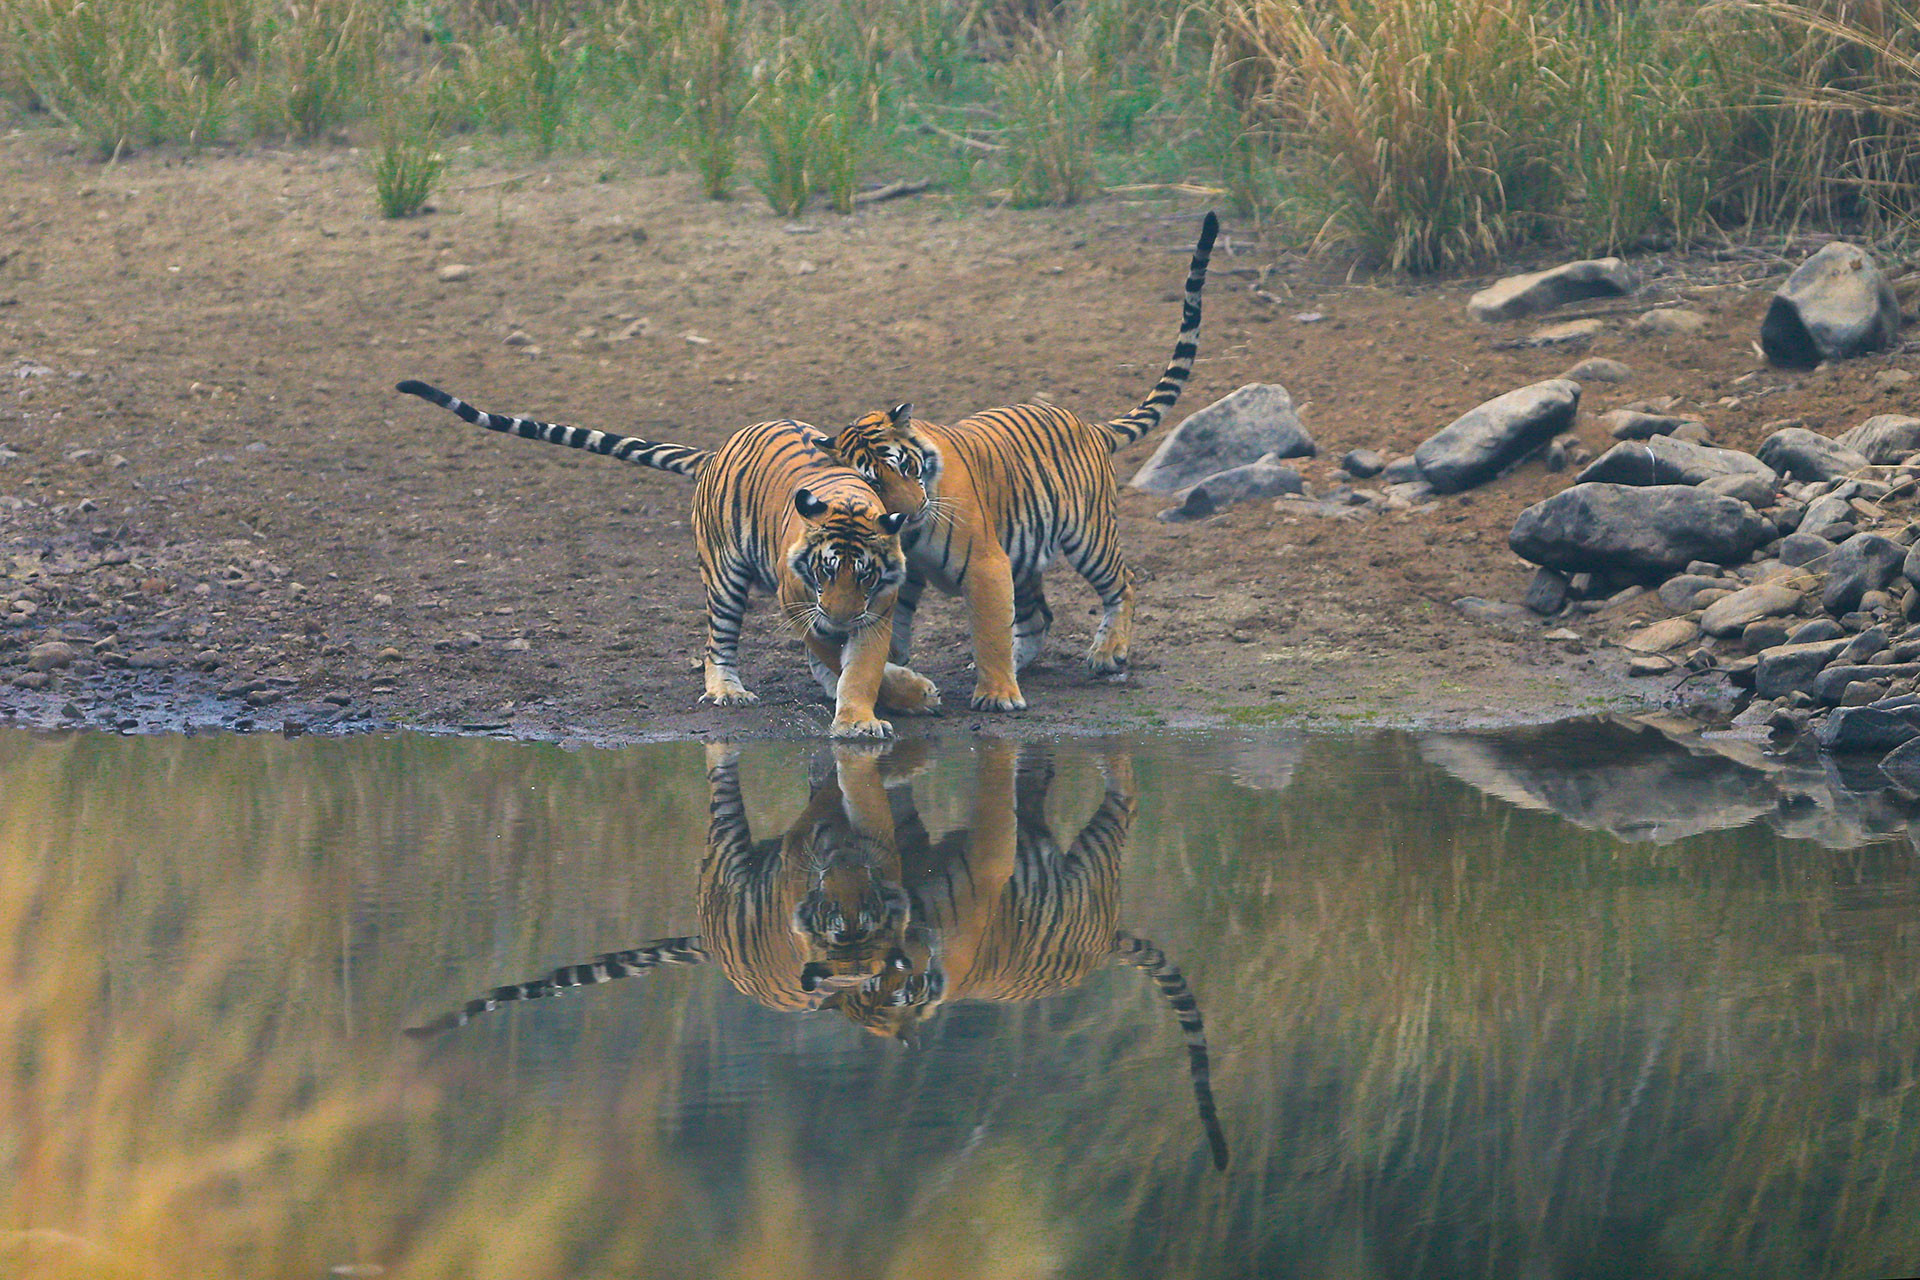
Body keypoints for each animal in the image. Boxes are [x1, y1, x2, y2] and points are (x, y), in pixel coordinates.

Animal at [394, 381, 937, 738]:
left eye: (864, 577)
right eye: (825, 572)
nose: (840, 616)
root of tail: (717, 452)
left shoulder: (877, 607)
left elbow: (860, 666)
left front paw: (864, 716)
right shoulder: (801, 602)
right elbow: (831, 649)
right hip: (724, 578)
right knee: (717, 644)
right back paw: (727, 691)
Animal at [821, 211, 1219, 711]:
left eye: (907, 468)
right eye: (874, 482)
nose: (910, 513)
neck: (908, 533)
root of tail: (1090, 426)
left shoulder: (986, 563)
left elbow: (989, 628)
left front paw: (996, 695)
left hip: (1089, 536)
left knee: (1123, 582)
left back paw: (1107, 653)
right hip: (1026, 549)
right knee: (1038, 617)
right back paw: (1023, 661)